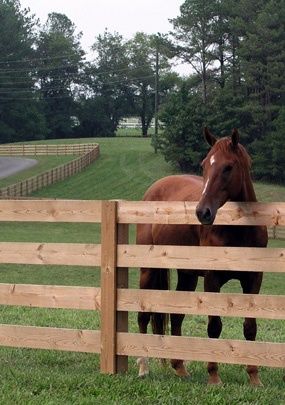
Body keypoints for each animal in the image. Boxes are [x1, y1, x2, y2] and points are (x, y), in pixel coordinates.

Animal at [135, 128, 266, 384]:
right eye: (204, 165)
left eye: (228, 167)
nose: (202, 212)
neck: (239, 229)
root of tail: (153, 190)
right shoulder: (212, 279)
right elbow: (214, 326)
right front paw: (214, 377)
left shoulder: (253, 280)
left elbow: (250, 327)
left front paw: (254, 378)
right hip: (149, 270)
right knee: (143, 316)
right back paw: (143, 367)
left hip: (188, 276)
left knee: (176, 317)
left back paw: (180, 367)